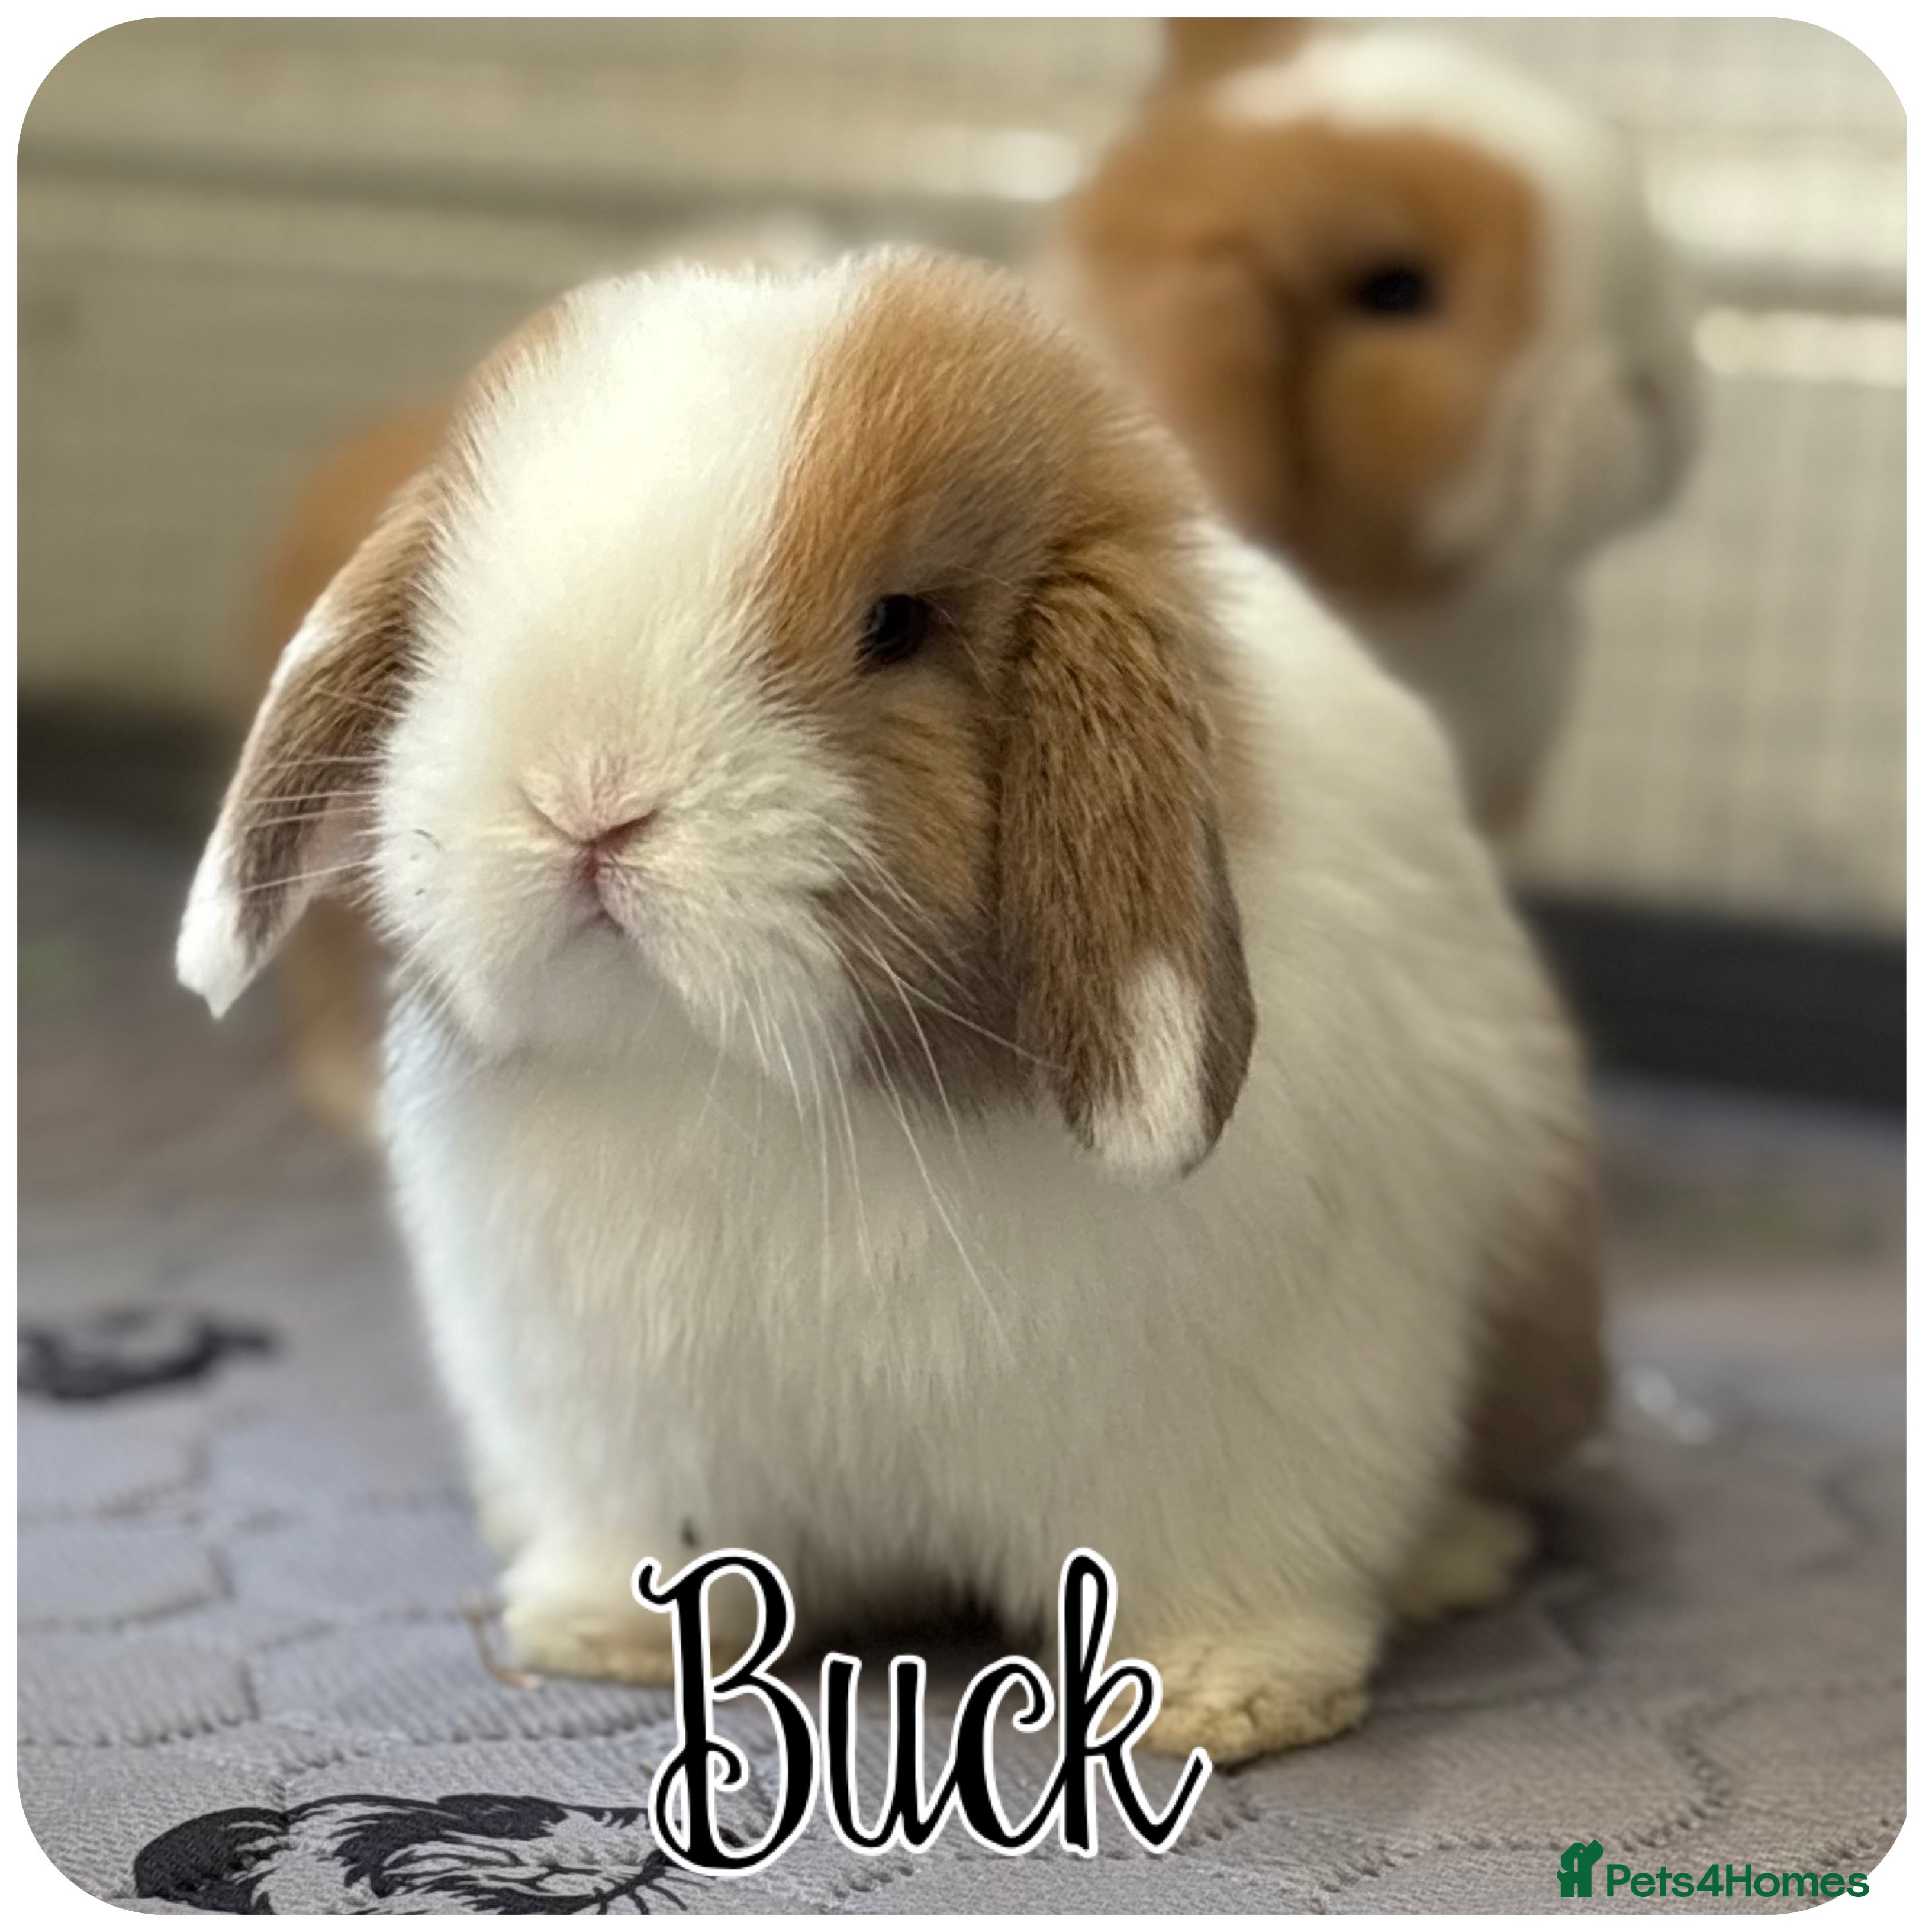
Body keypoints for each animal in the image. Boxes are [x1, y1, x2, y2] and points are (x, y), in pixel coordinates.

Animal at [178, 248, 1602, 1765]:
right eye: (458, 591)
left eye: (896, 626)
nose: (586, 796)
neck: (752, 1088)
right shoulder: (623, 1427)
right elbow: (653, 1542)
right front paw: (599, 1637)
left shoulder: (1248, 1430)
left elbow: (1230, 1571)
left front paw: (1222, 1702)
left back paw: (1453, 1559)